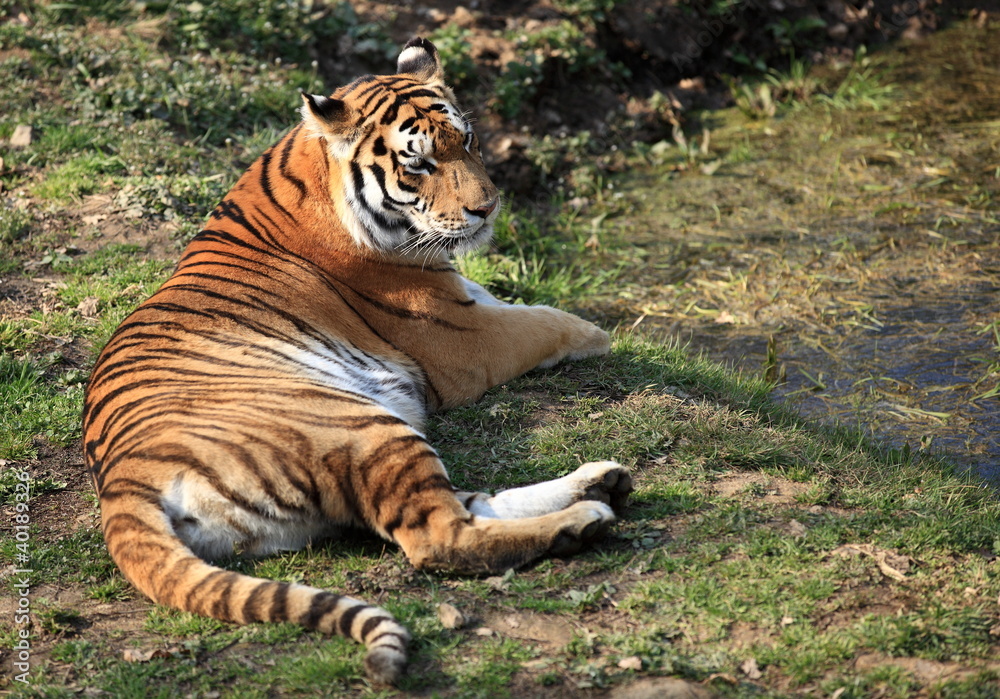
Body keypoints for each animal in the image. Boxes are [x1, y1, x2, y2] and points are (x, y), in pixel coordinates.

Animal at [82, 37, 633, 684]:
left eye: (468, 141)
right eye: (418, 164)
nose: (488, 208)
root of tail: (123, 478)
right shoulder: (467, 336)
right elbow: (549, 320)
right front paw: (604, 335)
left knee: (470, 506)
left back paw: (599, 483)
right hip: (361, 426)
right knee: (439, 537)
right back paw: (583, 521)